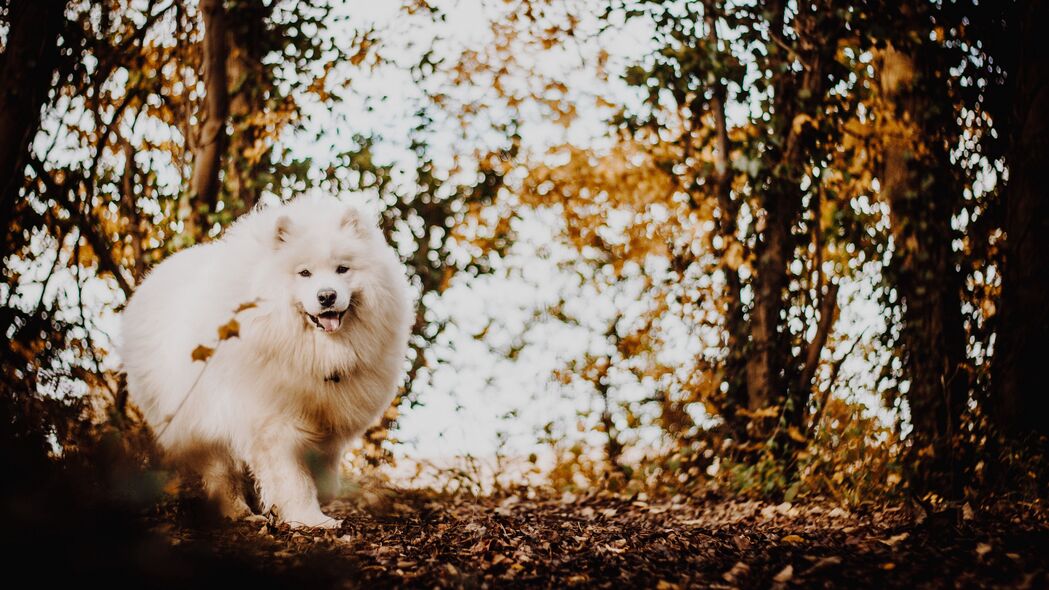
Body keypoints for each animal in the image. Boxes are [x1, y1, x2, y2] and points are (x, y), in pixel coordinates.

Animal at [121, 195, 413, 524]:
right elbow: (293, 478)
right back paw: (238, 512)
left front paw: (320, 498)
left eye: (342, 269)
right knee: (221, 471)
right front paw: (310, 519)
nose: (327, 296)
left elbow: (324, 468)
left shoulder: (327, 418)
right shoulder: (273, 421)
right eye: (304, 273)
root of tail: (149, 280)